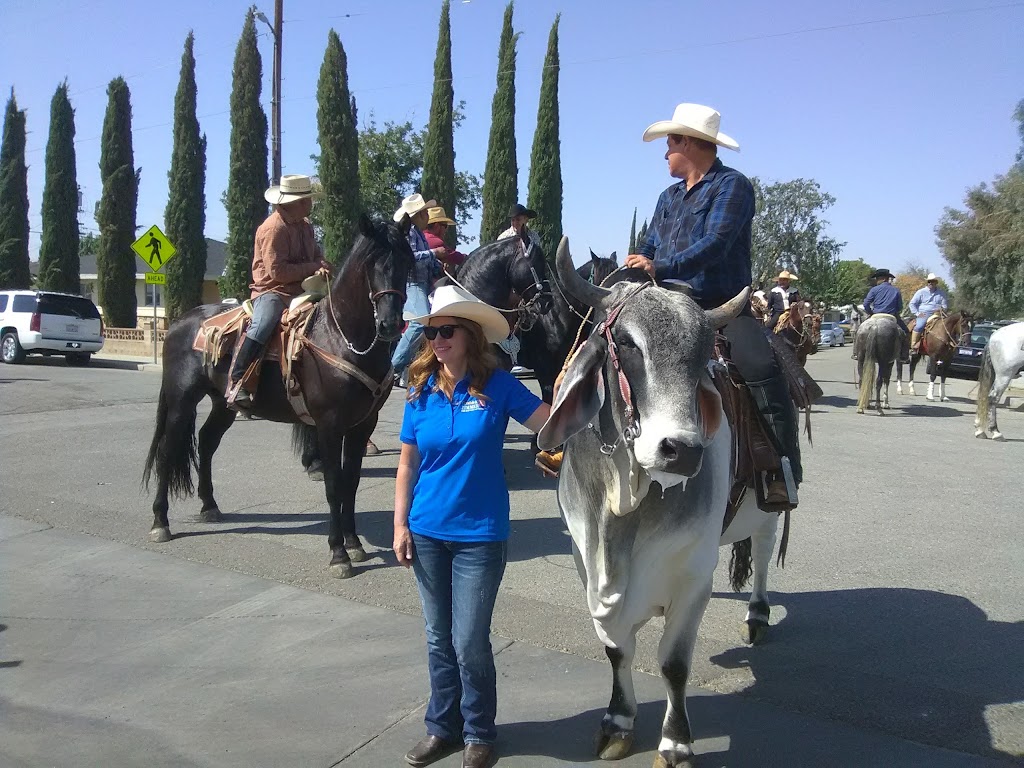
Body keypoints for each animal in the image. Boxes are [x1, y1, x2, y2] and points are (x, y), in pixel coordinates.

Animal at [145, 215, 415, 577]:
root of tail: (179, 323)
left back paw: (209, 505)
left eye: (405, 264)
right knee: (166, 452)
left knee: (207, 441)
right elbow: (334, 484)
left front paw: (354, 543)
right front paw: (339, 553)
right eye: (371, 265)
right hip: (181, 401)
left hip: (224, 404)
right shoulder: (329, 425)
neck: (338, 336)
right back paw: (160, 522)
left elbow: (352, 482)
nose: (389, 324)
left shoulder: (362, 425)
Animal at [540, 237, 778, 765]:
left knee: (764, 548)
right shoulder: (584, 561)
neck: (621, 509)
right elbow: (616, 650)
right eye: (628, 344)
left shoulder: (693, 576)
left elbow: (672, 665)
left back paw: (757, 615)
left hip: (772, 503)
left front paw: (675, 743)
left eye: (704, 355)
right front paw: (617, 722)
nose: (682, 450)